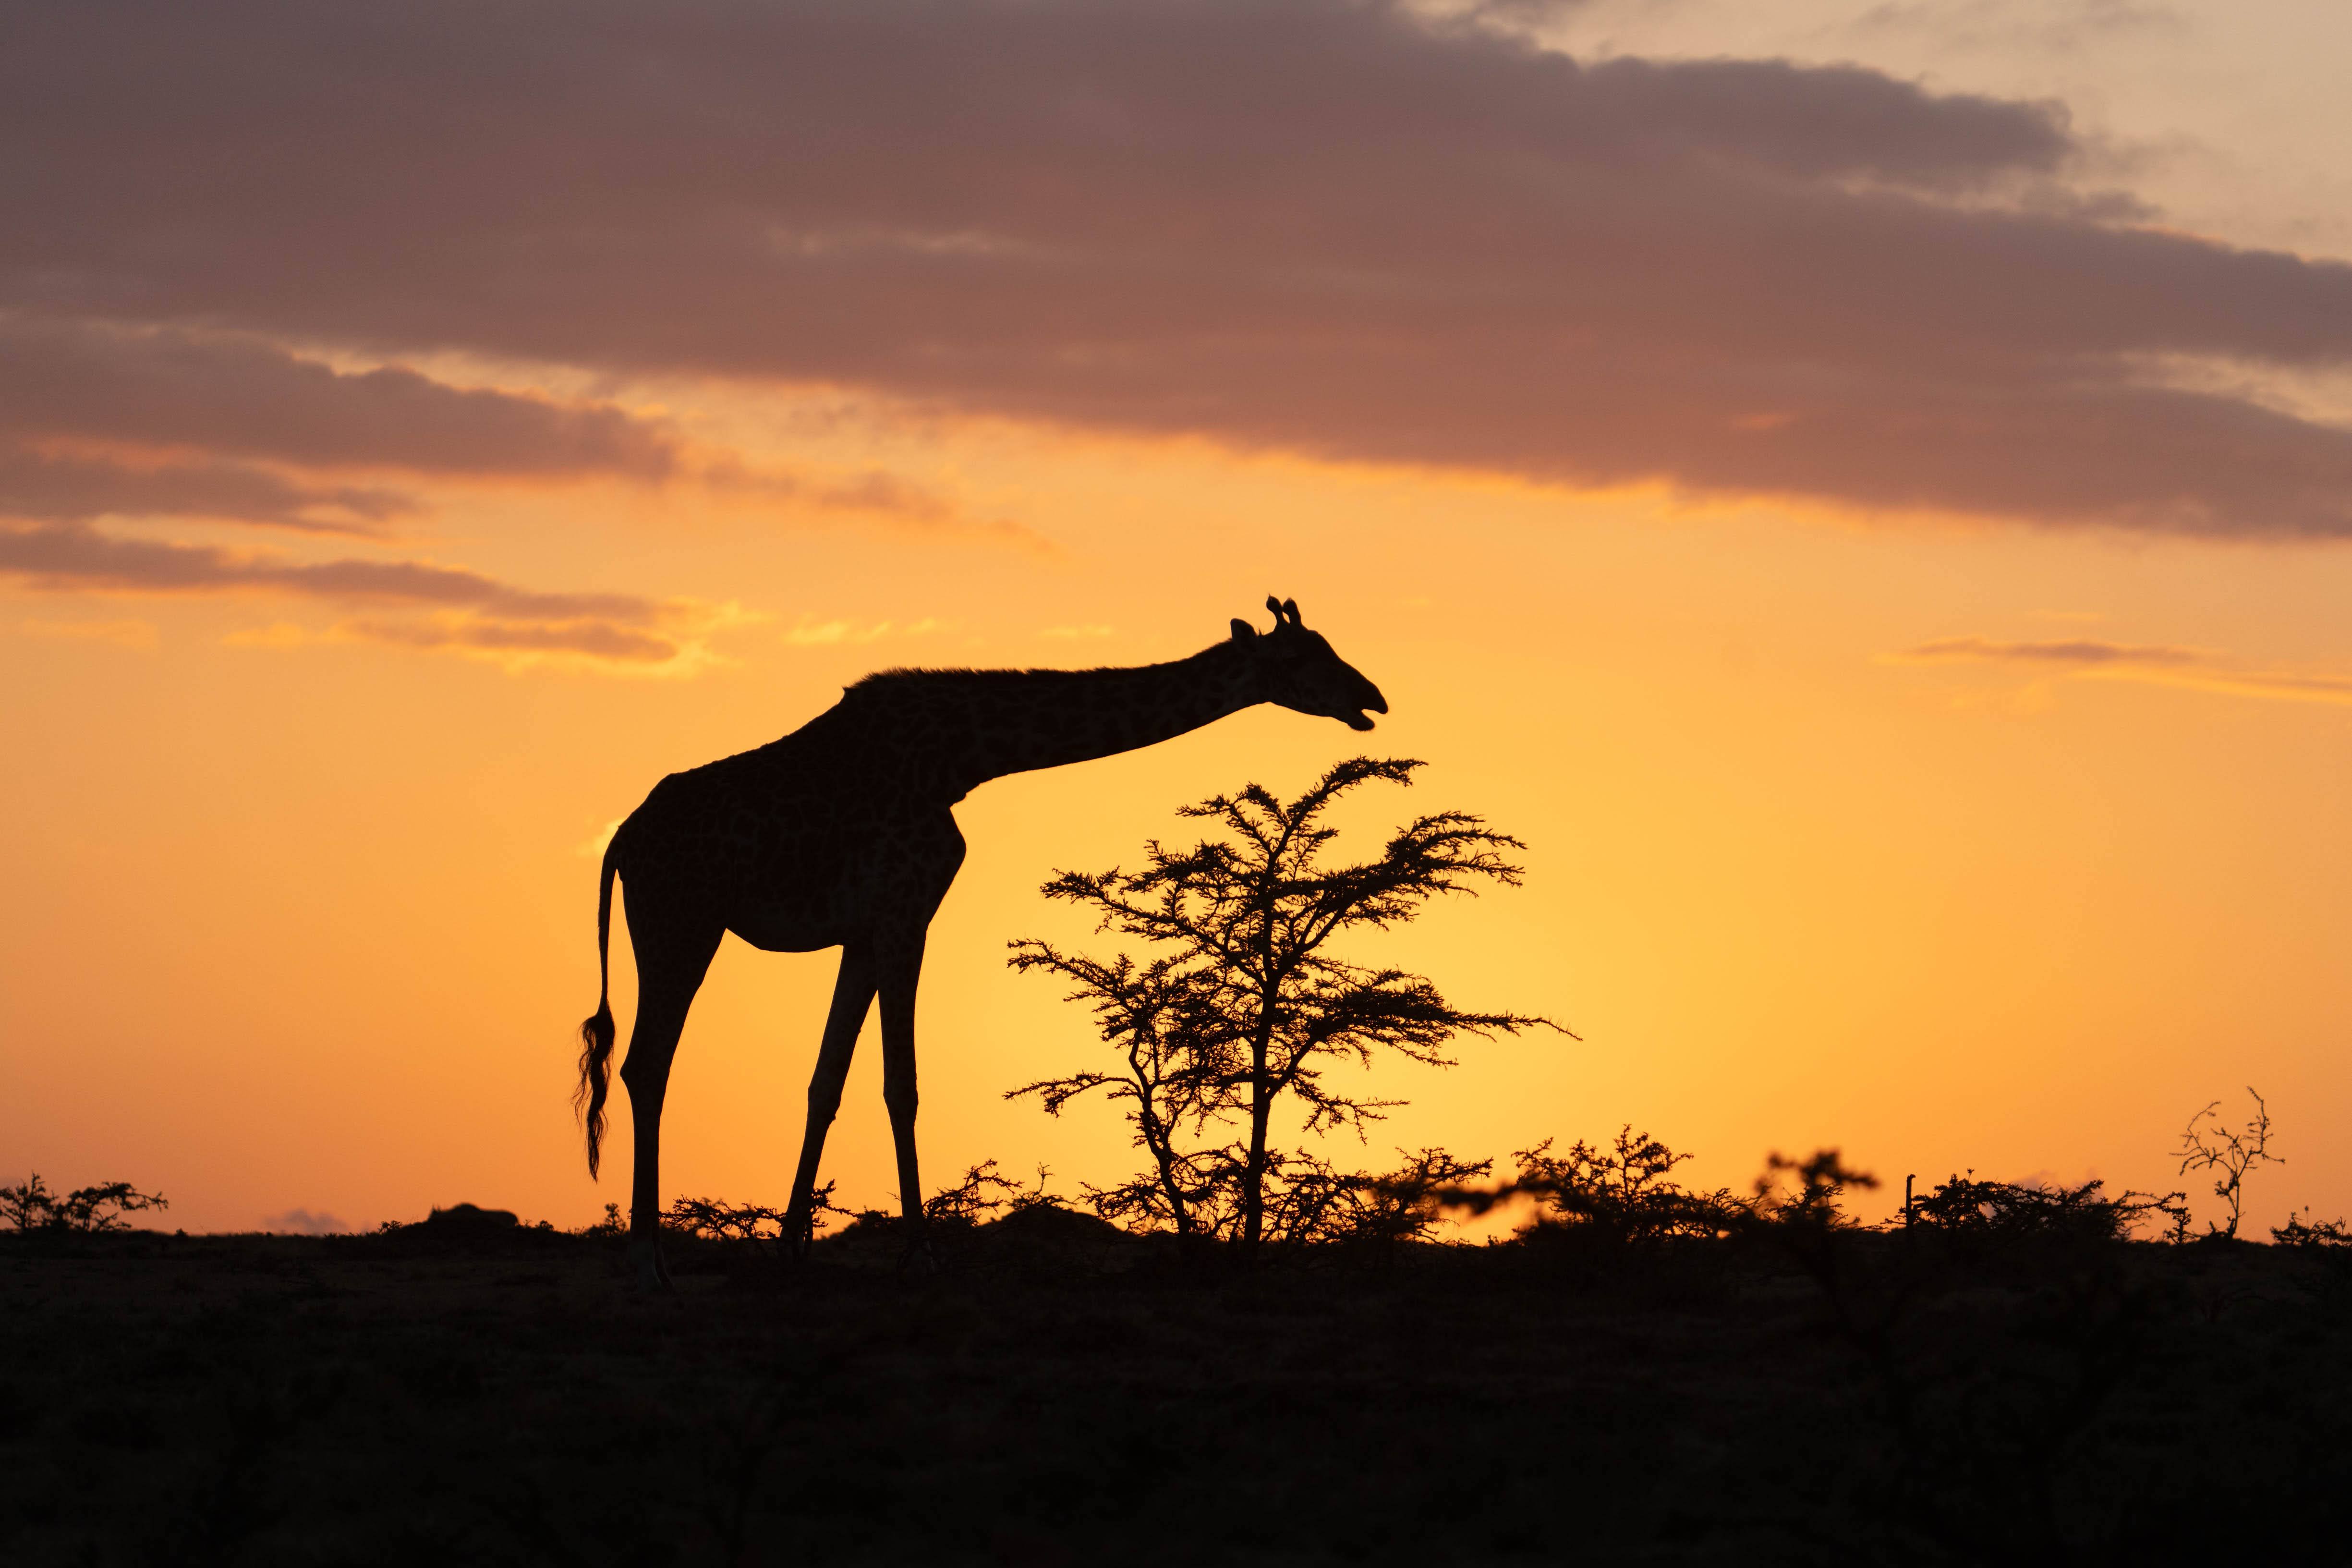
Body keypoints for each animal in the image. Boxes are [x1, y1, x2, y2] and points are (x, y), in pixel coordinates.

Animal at [576, 596, 1386, 1285]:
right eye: (1304, 656)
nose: (1372, 698)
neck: (961, 760)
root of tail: (622, 839)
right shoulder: (907, 913)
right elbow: (899, 1084)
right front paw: (920, 1254)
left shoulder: (866, 930)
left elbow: (825, 1081)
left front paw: (788, 1250)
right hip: (681, 923)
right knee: (647, 1065)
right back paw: (647, 1260)